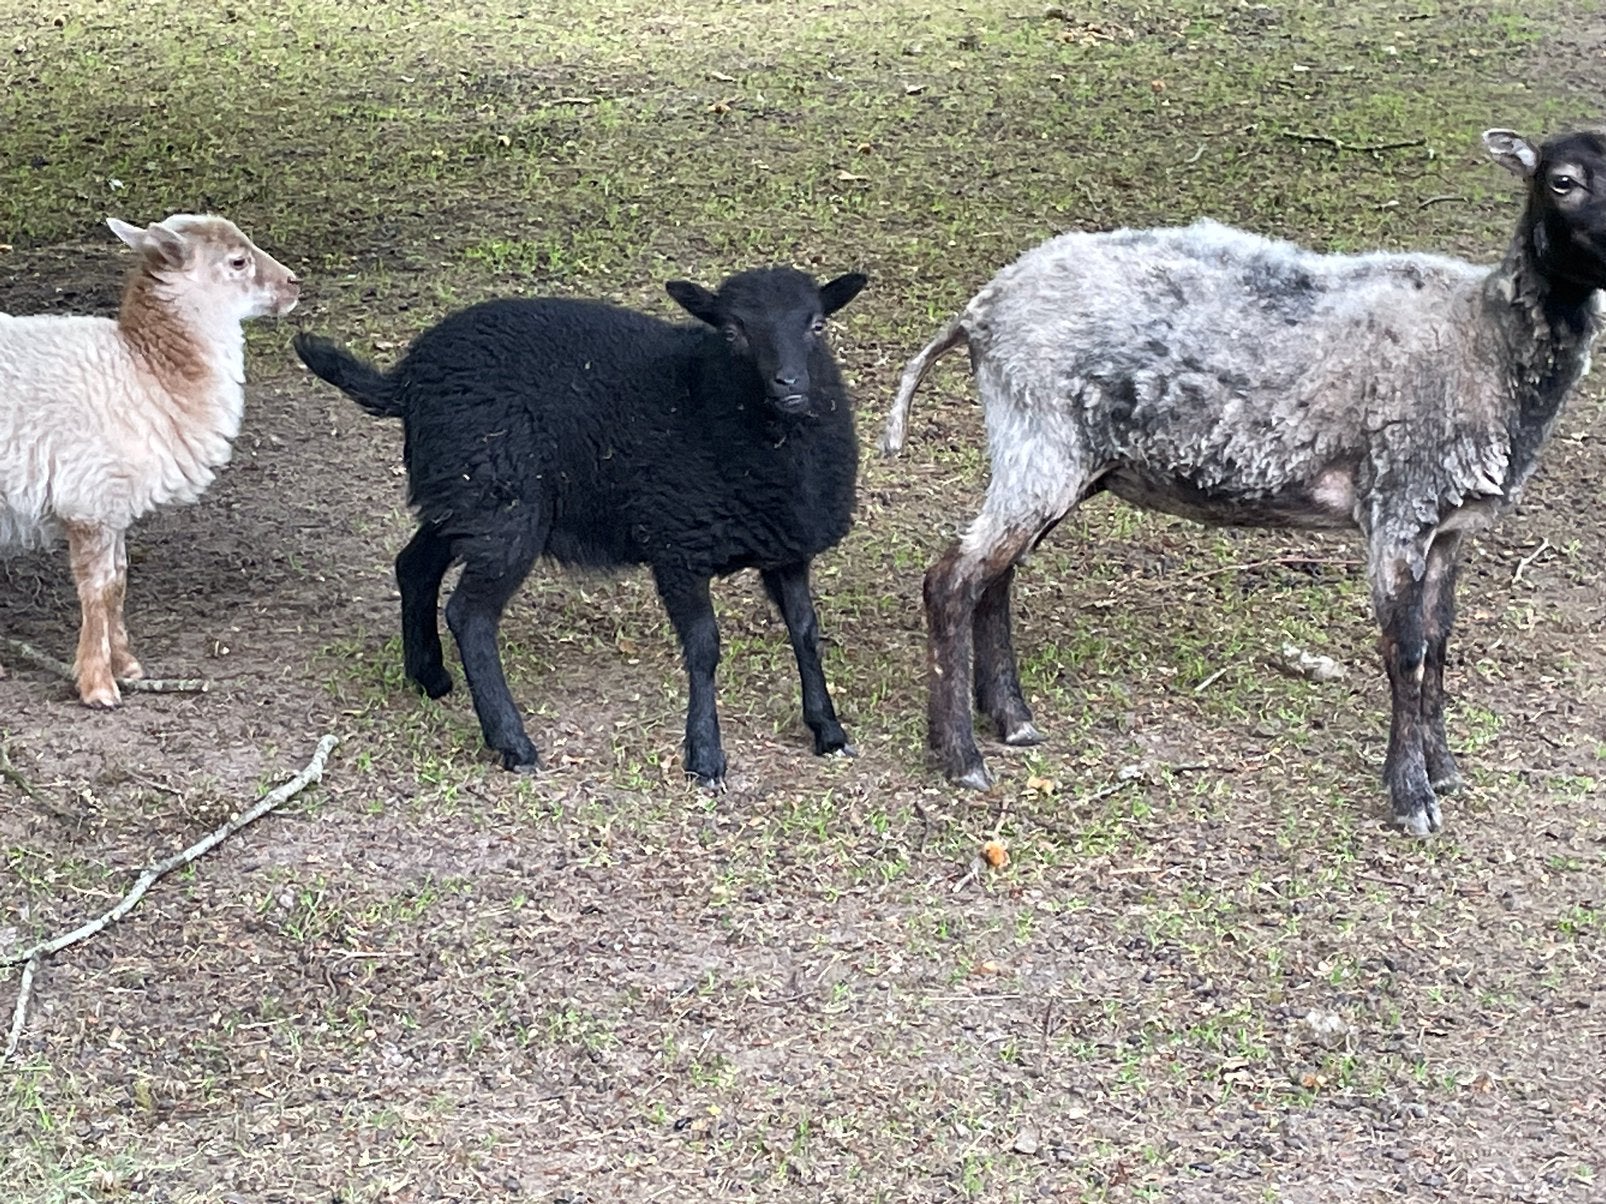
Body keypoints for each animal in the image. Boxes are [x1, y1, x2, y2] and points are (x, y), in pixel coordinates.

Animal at [0, 215, 300, 706]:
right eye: (238, 261)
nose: (293, 284)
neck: (147, 373)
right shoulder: (89, 499)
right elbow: (98, 590)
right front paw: (98, 685)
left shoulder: (114, 503)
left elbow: (119, 583)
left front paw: (126, 665)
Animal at [293, 266, 868, 784]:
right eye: (732, 331)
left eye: (817, 324)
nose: (789, 384)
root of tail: (408, 377)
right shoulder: (678, 544)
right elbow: (705, 648)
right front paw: (705, 755)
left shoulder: (786, 548)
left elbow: (805, 632)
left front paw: (828, 729)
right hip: (502, 506)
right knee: (470, 615)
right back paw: (513, 742)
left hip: (469, 495)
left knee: (414, 566)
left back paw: (429, 675)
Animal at [883, 127, 1606, 836]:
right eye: (1561, 181)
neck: (1485, 336)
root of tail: (981, 309)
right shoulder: (1397, 507)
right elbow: (1406, 651)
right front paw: (1412, 798)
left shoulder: (1449, 528)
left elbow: (1439, 643)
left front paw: (1445, 770)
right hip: (1039, 437)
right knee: (951, 580)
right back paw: (961, 756)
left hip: (1053, 456)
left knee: (994, 579)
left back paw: (1012, 720)